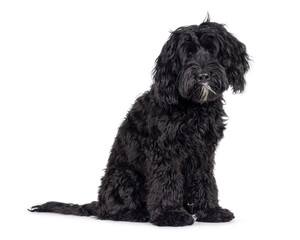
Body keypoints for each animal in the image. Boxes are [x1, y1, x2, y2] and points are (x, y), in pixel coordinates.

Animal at [29, 17, 251, 226]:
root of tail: (99, 202)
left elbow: (205, 181)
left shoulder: (203, 153)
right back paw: (139, 214)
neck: (193, 107)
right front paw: (170, 214)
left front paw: (211, 211)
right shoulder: (163, 151)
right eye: (188, 53)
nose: (203, 76)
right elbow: (167, 181)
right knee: (110, 212)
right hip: (125, 176)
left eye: (213, 50)